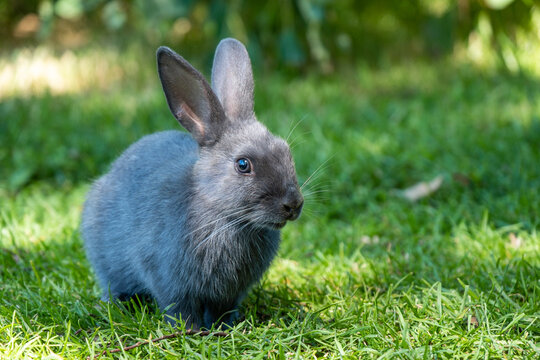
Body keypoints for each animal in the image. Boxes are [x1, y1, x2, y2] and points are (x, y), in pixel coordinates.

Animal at [79, 38, 304, 330]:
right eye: (243, 164)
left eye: (285, 150)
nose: (294, 205)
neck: (226, 218)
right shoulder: (169, 280)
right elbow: (180, 309)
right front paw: (190, 330)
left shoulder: (230, 294)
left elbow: (223, 309)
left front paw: (224, 327)